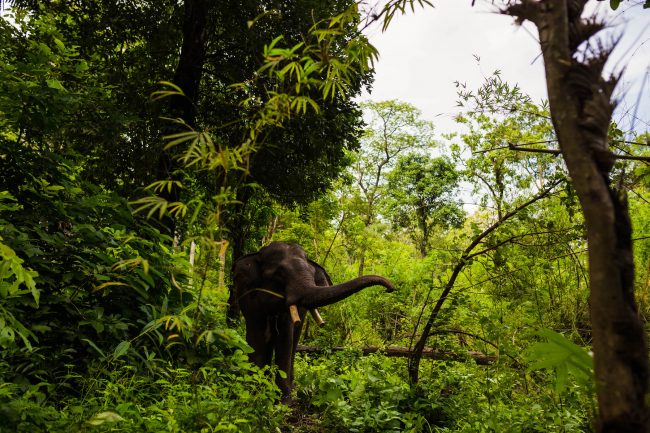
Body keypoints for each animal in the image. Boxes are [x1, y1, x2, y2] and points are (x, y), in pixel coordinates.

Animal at [232, 240, 394, 398]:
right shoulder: (247, 295)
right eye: (279, 275)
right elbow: (256, 339)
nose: (390, 289)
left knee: (293, 342)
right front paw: (253, 392)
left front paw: (283, 397)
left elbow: (286, 339)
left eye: (311, 274)